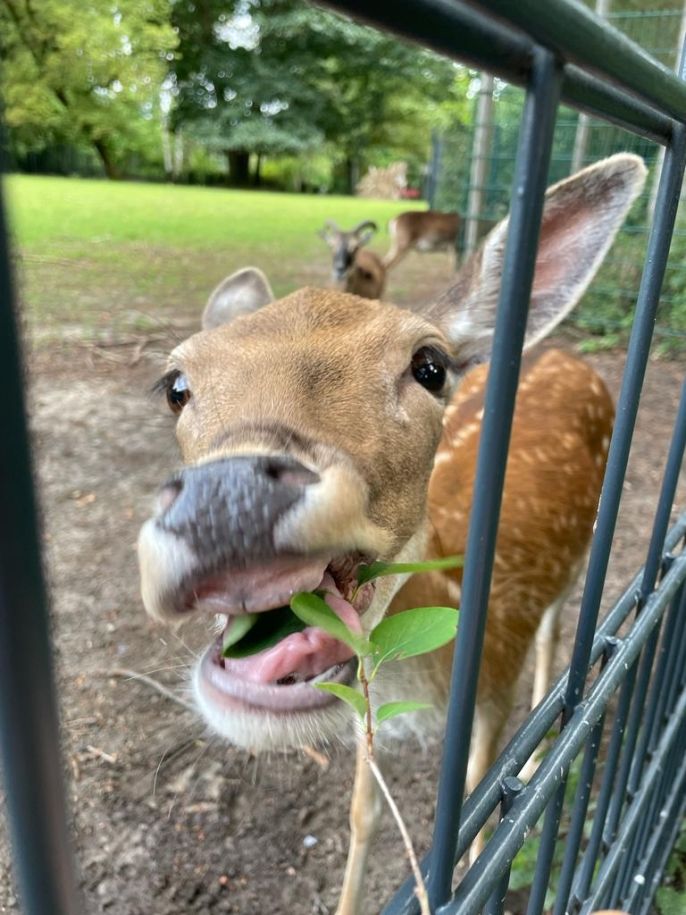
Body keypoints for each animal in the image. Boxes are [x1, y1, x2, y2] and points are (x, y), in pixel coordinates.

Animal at [138, 156, 644, 915]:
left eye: (429, 364)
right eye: (175, 384)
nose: (228, 496)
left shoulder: (494, 681)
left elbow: (478, 824)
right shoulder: (364, 713)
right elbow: (362, 815)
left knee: (564, 633)